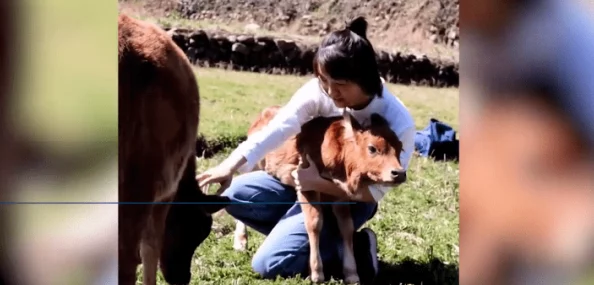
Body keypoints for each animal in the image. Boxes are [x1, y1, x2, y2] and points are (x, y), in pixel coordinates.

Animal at [117, 13, 228, 284]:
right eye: (199, 229)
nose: (183, 278)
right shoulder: (165, 191)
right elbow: (150, 249)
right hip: (139, 179)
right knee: (127, 257)